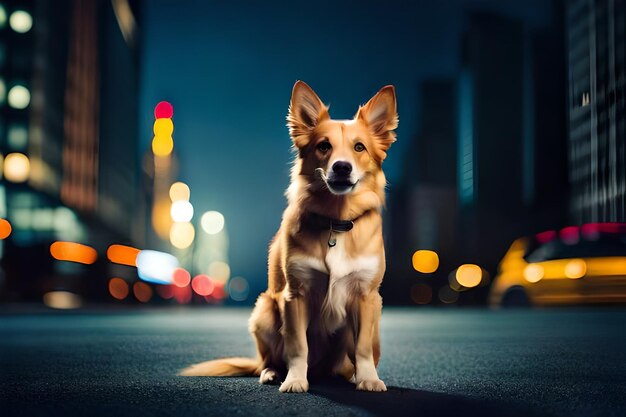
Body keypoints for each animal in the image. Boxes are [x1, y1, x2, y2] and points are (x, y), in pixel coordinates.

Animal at [179, 79, 394, 392]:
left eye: (359, 147)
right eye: (324, 146)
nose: (342, 167)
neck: (336, 221)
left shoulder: (367, 297)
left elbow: (363, 348)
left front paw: (368, 379)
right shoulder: (294, 296)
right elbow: (297, 346)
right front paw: (294, 380)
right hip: (264, 311)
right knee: (269, 358)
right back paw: (271, 372)